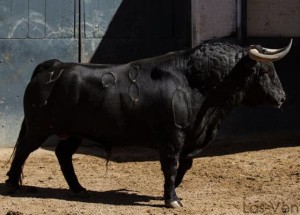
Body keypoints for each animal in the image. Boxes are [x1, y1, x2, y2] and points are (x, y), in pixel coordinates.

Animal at [4, 39, 292, 207]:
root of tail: (53, 67)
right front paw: (171, 199)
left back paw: (79, 189)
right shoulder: (172, 138)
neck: (196, 82)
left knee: (63, 155)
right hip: (39, 128)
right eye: (265, 71)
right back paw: (12, 185)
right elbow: (172, 167)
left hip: (73, 132)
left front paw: (173, 193)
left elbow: (184, 166)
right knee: (24, 151)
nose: (282, 97)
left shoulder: (187, 139)